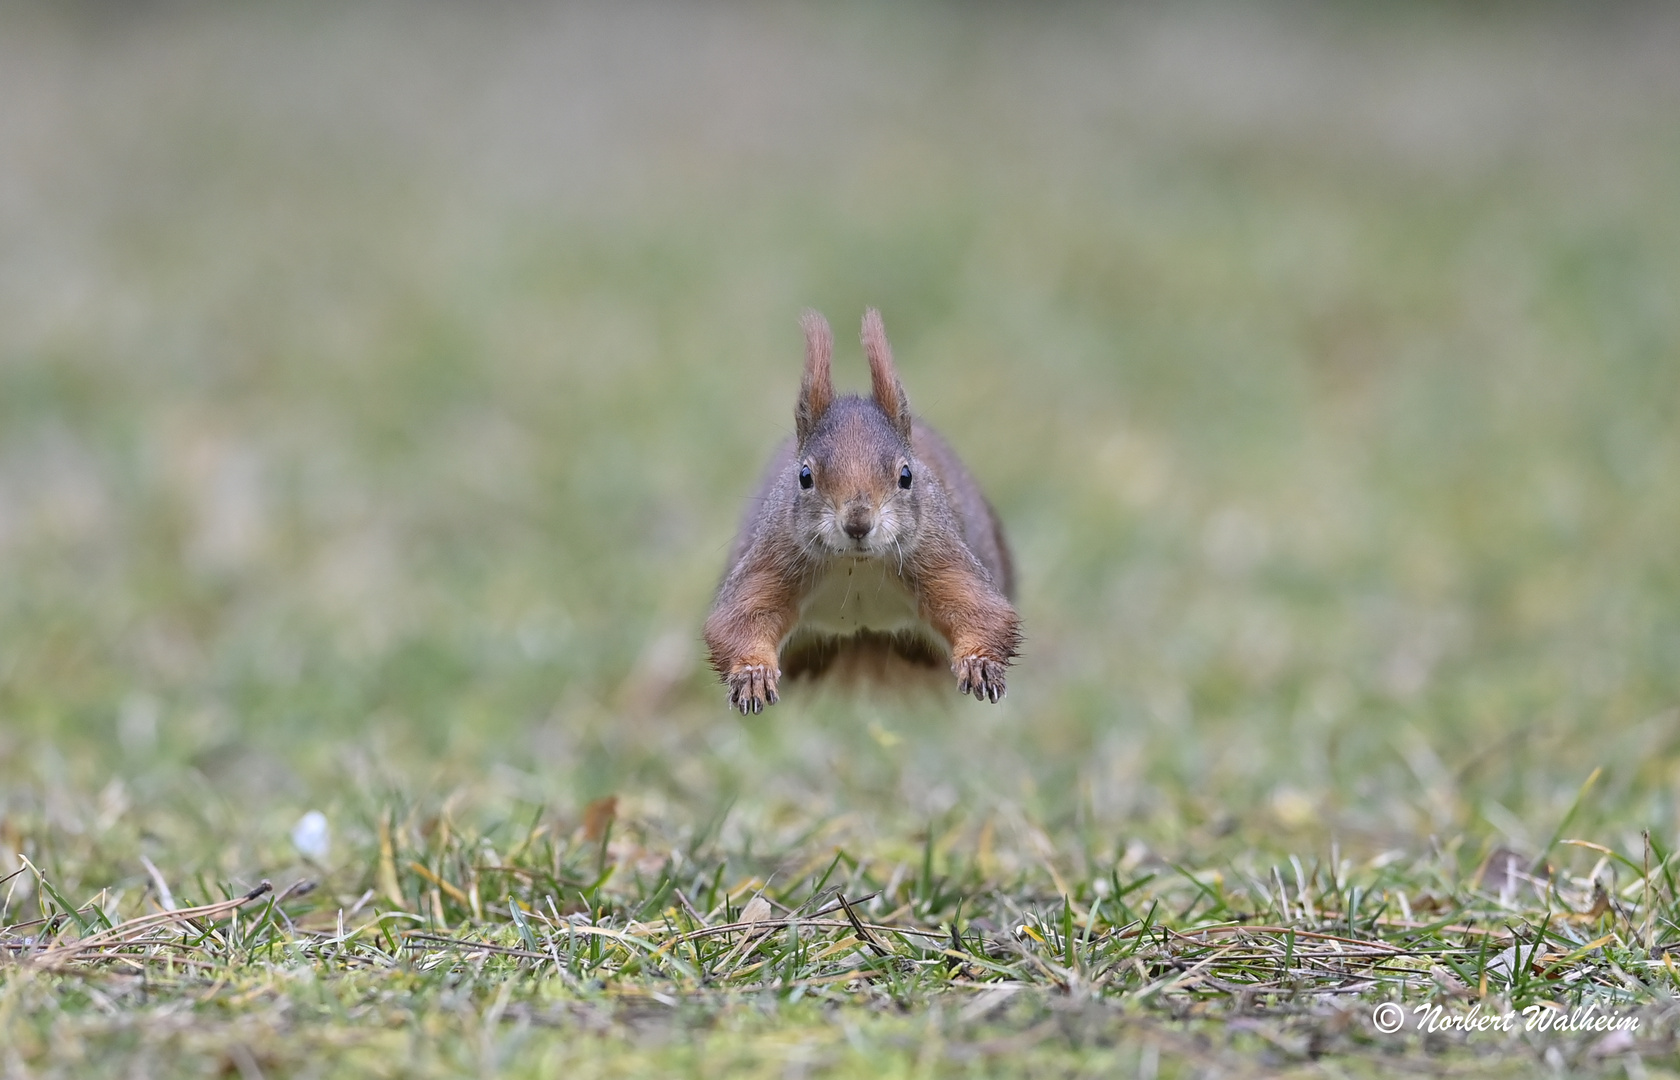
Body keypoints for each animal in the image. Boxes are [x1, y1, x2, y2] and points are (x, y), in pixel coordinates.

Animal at [698, 309, 1014, 715]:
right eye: (804, 477)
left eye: (906, 476)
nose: (858, 523)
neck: (856, 564)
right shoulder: (776, 556)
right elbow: (742, 617)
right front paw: (752, 674)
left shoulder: (937, 553)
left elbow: (978, 609)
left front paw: (980, 664)